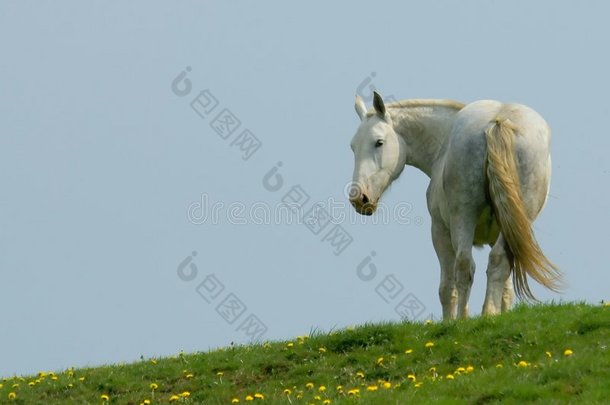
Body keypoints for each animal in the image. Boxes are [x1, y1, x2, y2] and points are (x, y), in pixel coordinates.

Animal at [346, 91, 560, 318]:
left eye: (378, 142)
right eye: (353, 147)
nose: (358, 198)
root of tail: (498, 120)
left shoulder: (439, 231)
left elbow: (447, 288)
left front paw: (451, 321)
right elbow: (506, 287)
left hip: (462, 218)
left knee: (465, 267)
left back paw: (464, 319)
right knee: (496, 262)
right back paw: (489, 314)